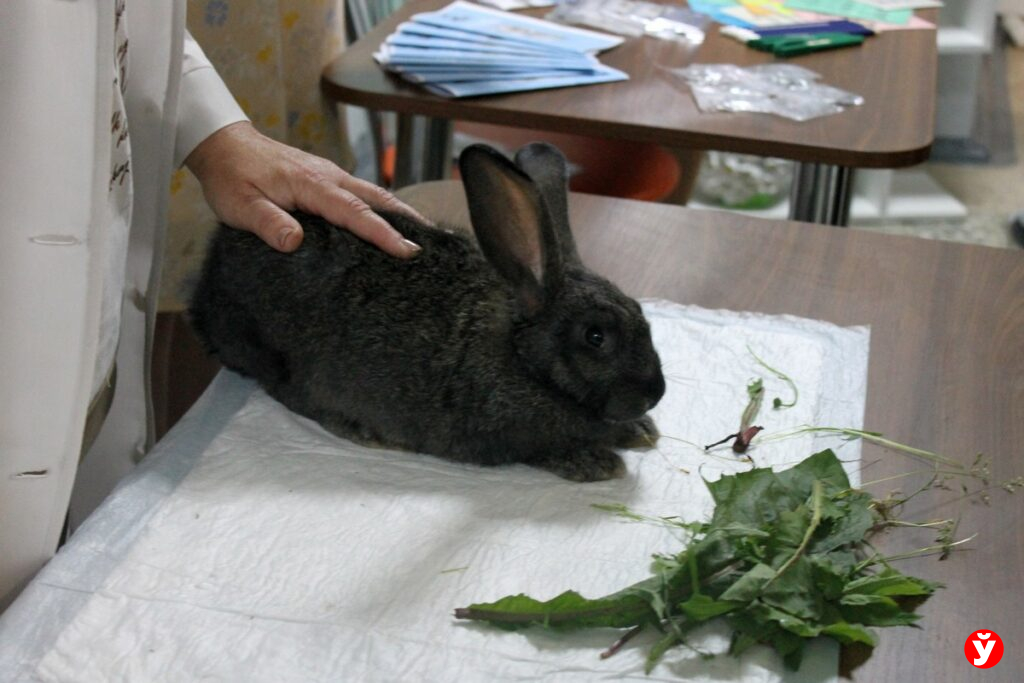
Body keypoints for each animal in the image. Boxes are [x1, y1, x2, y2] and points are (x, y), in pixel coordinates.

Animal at [189, 143, 667, 481]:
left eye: (640, 313)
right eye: (595, 337)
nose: (655, 393)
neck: (523, 357)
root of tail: (206, 288)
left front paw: (640, 430)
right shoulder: (507, 432)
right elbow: (545, 449)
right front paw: (597, 462)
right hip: (279, 356)